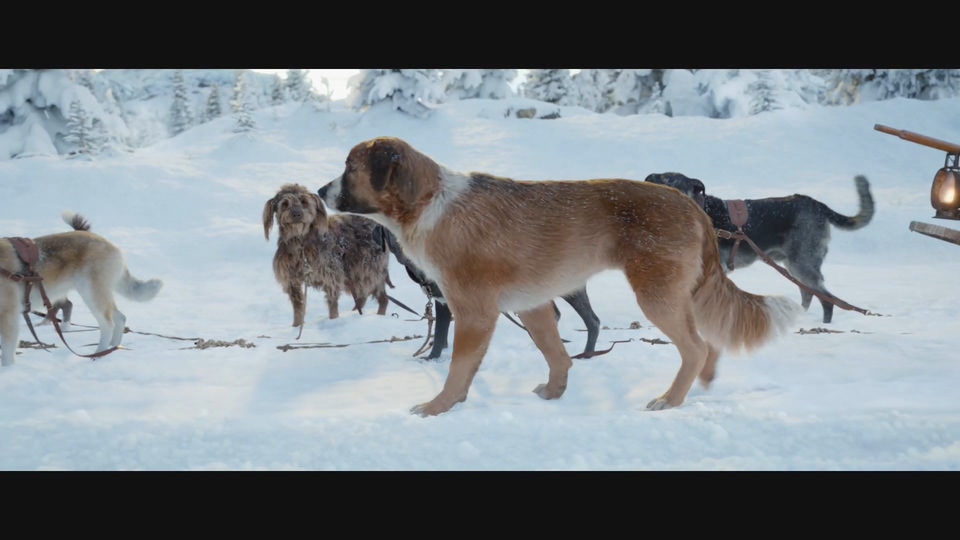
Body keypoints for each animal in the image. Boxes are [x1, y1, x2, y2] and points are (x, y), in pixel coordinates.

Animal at [0, 211, 163, 368]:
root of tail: (110, 244)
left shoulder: (8, 317)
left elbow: (8, 354)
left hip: (91, 294)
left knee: (107, 324)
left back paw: (98, 354)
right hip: (98, 294)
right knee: (120, 318)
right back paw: (113, 347)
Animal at [262, 182, 390, 324]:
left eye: (304, 201)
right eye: (285, 204)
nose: (296, 214)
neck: (301, 244)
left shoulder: (331, 277)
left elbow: (332, 304)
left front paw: (333, 321)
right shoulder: (292, 281)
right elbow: (298, 308)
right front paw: (296, 326)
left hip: (368, 270)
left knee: (383, 298)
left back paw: (379, 315)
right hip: (354, 273)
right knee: (363, 296)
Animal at [374, 226, 604, 360]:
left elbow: (439, 333)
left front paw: (432, 358)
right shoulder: (443, 301)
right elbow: (443, 330)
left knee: (592, 321)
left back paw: (587, 354)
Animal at [644, 173, 876, 322]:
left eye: (669, 179)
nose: (648, 178)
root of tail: (818, 206)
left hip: (802, 265)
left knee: (827, 300)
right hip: (793, 265)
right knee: (808, 294)